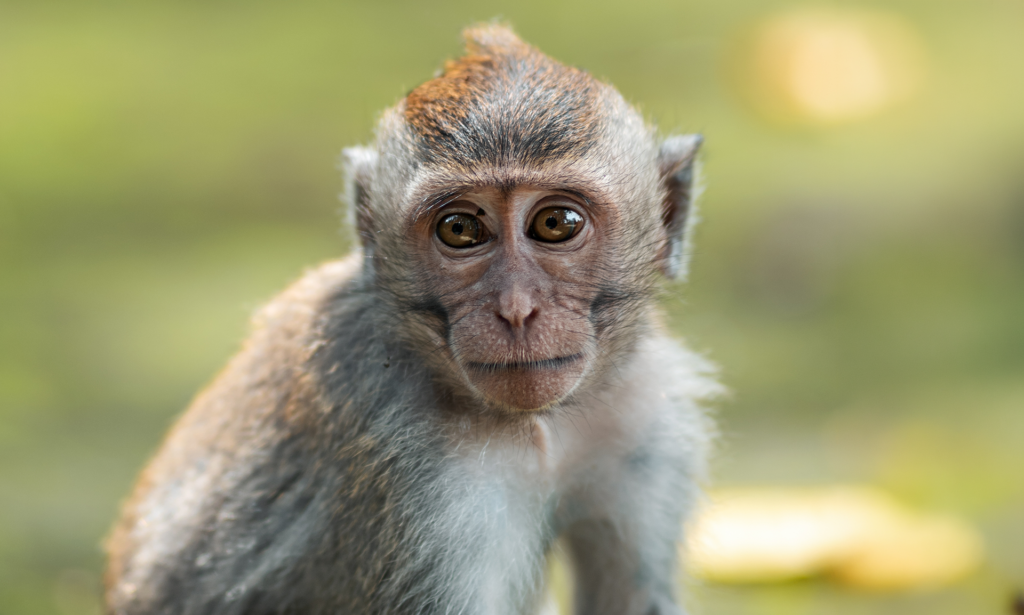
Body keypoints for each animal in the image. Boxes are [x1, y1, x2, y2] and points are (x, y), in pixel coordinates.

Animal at [104, 23, 718, 615]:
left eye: (556, 223)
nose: (516, 309)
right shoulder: (415, 475)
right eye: (461, 229)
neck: (535, 426)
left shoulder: (646, 412)